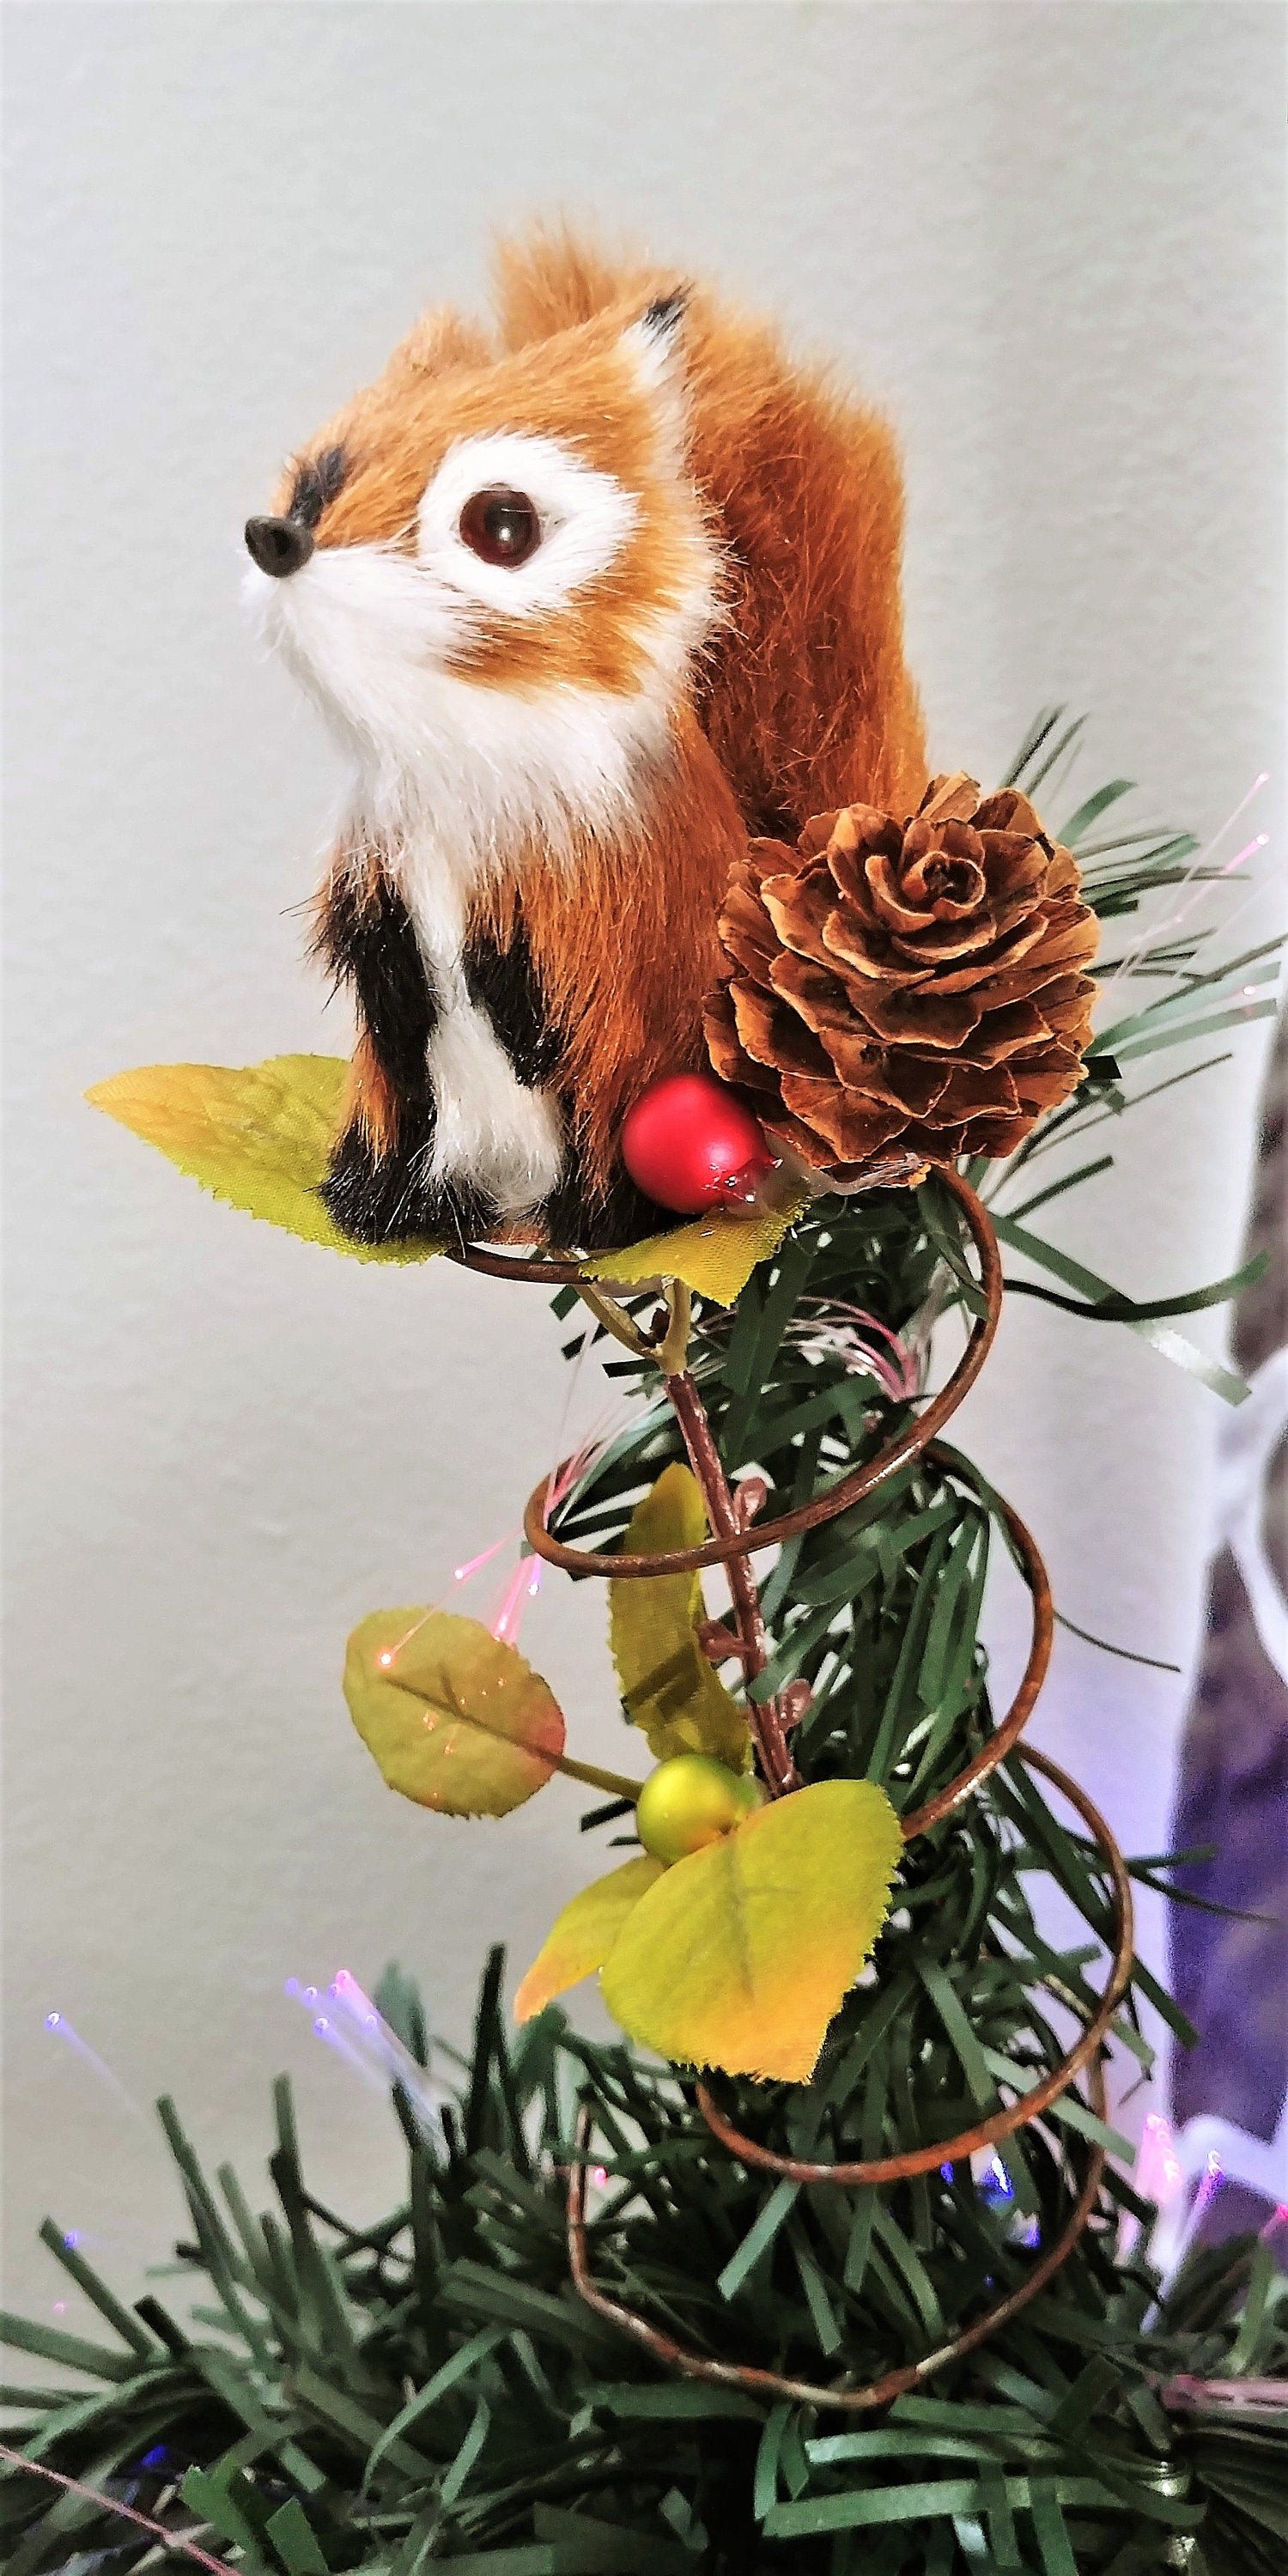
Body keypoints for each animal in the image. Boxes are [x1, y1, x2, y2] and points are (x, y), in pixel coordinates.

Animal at [243, 227, 927, 1252]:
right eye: (322, 471)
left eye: (502, 524)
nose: (274, 538)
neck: (466, 771)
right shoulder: (375, 880)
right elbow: (384, 979)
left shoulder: (607, 906)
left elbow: (552, 995)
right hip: (401, 1116)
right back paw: (387, 1206)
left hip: (615, 1116)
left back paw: (589, 1223)